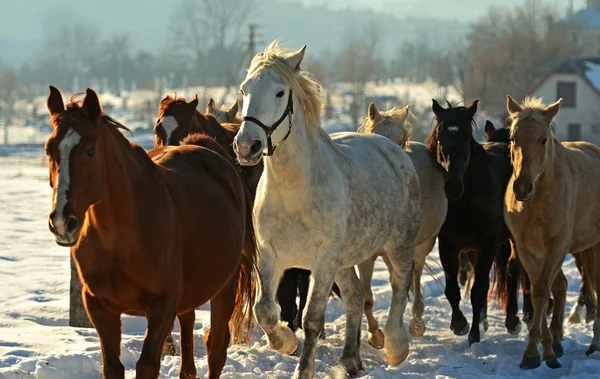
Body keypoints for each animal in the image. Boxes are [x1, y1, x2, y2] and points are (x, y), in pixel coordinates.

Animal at [44, 87, 255, 379]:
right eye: (49, 149)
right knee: (188, 321)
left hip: (226, 285)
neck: (121, 237)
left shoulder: (161, 306)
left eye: (91, 150)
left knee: (216, 348)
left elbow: (147, 365)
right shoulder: (99, 307)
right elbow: (113, 366)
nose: (63, 221)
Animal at [233, 41, 422, 379]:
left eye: (280, 93)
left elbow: (311, 319)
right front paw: (285, 341)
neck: (295, 194)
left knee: (399, 286)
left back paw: (395, 347)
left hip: (399, 245)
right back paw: (349, 360)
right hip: (345, 263)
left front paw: (303, 369)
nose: (246, 146)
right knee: (356, 298)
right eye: (244, 90)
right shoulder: (270, 256)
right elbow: (264, 310)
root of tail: (392, 148)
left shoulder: (322, 263)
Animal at [358, 101, 448, 344]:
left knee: (415, 274)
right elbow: (366, 298)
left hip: (421, 244)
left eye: (400, 142)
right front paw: (375, 335)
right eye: (374, 136)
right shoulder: (366, 255)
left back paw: (417, 321)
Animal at [424, 99, 512, 346]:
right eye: (440, 137)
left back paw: (518, 320)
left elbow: (478, 290)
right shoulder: (448, 245)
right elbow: (452, 289)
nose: (453, 187)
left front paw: (474, 335)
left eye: (466, 138)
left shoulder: (487, 245)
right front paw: (460, 324)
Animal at [504, 95, 600, 372]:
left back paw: (595, 344)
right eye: (512, 138)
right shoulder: (527, 249)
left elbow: (541, 291)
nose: (522, 187)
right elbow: (539, 291)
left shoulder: (556, 246)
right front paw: (543, 351)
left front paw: (535, 353)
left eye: (543, 139)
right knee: (561, 286)